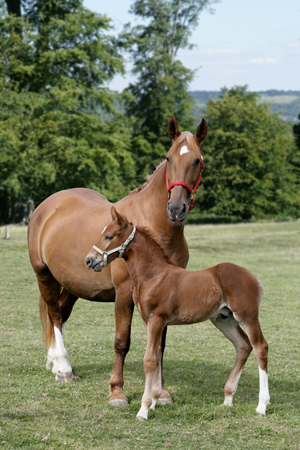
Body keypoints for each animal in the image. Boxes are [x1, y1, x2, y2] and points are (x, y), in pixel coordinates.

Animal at [27, 114, 206, 406]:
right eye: (168, 158)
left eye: (197, 161)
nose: (176, 208)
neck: (153, 231)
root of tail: (47, 206)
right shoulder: (124, 293)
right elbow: (122, 341)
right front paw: (117, 391)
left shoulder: (167, 294)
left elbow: (160, 345)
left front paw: (161, 392)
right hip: (44, 275)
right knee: (54, 314)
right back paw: (63, 368)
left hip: (74, 284)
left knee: (61, 314)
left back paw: (55, 363)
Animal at [85, 209, 270, 420]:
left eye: (109, 236)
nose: (89, 260)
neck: (153, 276)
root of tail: (254, 278)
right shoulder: (150, 321)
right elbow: (157, 355)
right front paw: (155, 402)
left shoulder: (157, 319)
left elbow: (149, 360)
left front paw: (144, 409)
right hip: (224, 318)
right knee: (243, 345)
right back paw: (228, 399)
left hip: (247, 316)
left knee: (260, 347)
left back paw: (262, 405)